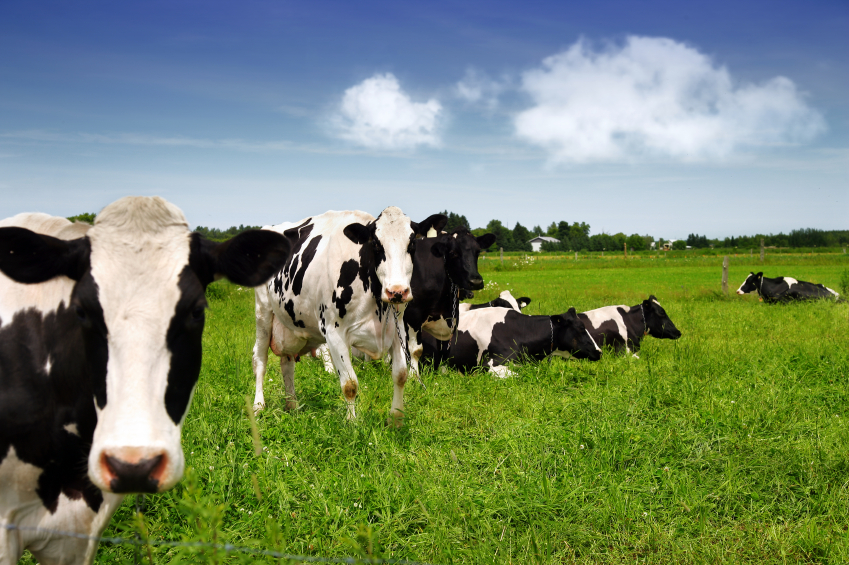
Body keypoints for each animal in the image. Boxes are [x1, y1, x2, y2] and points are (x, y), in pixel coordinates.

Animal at [251, 208, 445, 426]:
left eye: (412, 243)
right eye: (376, 244)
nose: (397, 291)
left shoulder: (398, 329)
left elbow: (400, 375)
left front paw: (396, 418)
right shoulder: (334, 332)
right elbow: (350, 384)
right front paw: (352, 423)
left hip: (290, 325)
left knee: (287, 363)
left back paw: (292, 404)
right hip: (263, 313)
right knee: (260, 359)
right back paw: (258, 406)